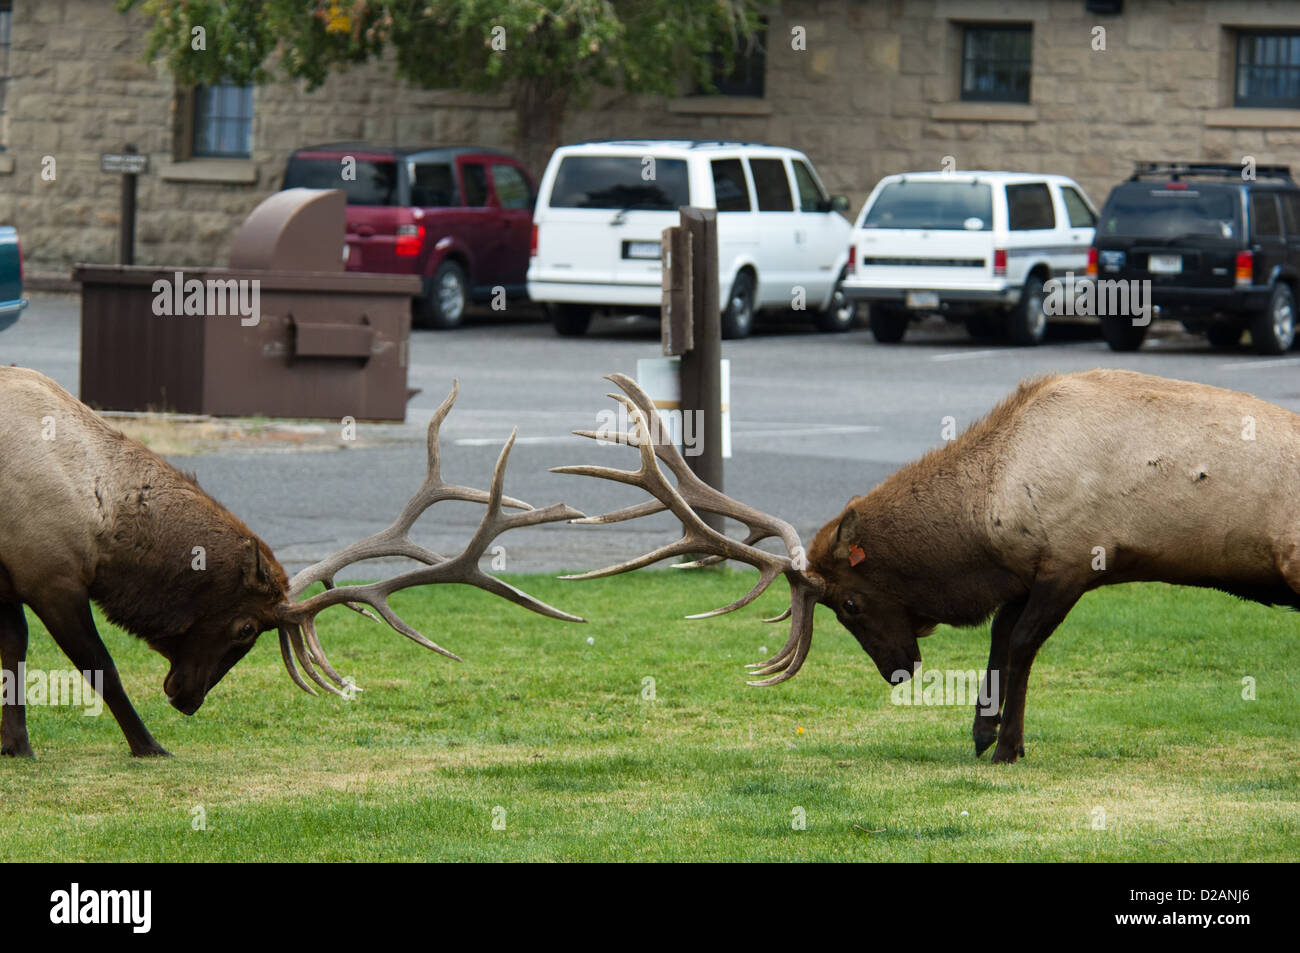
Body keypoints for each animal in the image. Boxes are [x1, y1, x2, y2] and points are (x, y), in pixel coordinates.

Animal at [0, 366, 579, 759]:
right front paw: (149, 746)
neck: (100, 513)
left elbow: (14, 657)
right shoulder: (51, 574)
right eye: (245, 628)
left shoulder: (12, 581)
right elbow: (101, 667)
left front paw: (17, 748)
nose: (187, 699)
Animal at [559, 369, 1300, 764]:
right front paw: (983, 730)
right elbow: (1001, 641)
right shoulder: (1030, 570)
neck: (992, 504)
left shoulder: (1073, 558)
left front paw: (1007, 746)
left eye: (850, 603)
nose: (898, 670)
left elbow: (1021, 645)